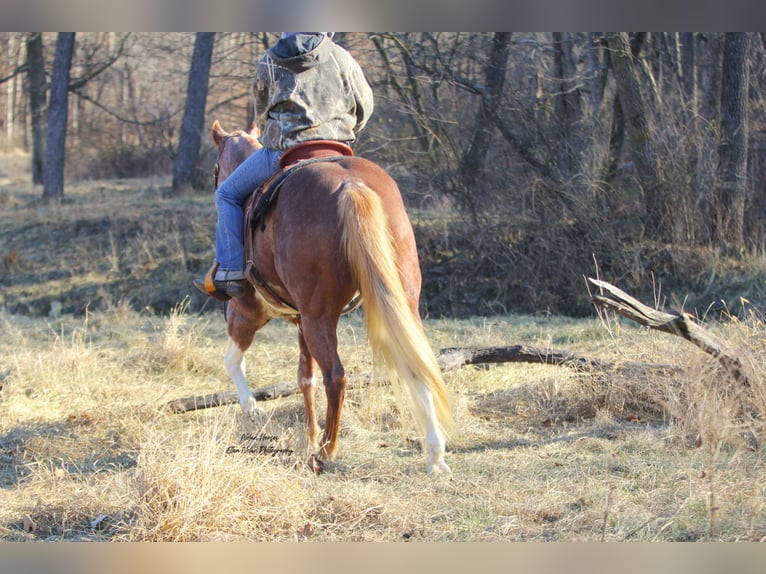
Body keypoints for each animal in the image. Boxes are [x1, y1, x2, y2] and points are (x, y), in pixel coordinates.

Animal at [207, 121, 452, 476]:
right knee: (417, 361)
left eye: (216, 170)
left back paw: (326, 450)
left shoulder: (246, 312)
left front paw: (253, 412)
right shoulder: (299, 320)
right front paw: (307, 434)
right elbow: (304, 377)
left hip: (316, 317)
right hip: (399, 305)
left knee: (335, 376)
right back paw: (434, 455)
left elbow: (233, 361)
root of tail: (351, 185)